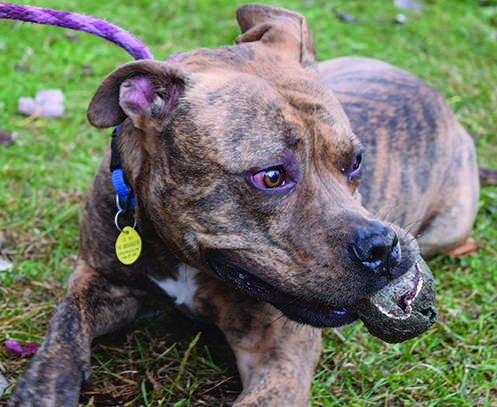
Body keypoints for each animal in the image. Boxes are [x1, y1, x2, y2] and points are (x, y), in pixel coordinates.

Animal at [8, 3, 492, 407]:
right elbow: (66, 321)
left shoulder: (279, 357)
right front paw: (44, 383)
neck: (183, 257)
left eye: (355, 161)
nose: (383, 247)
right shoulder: (99, 275)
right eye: (271, 177)